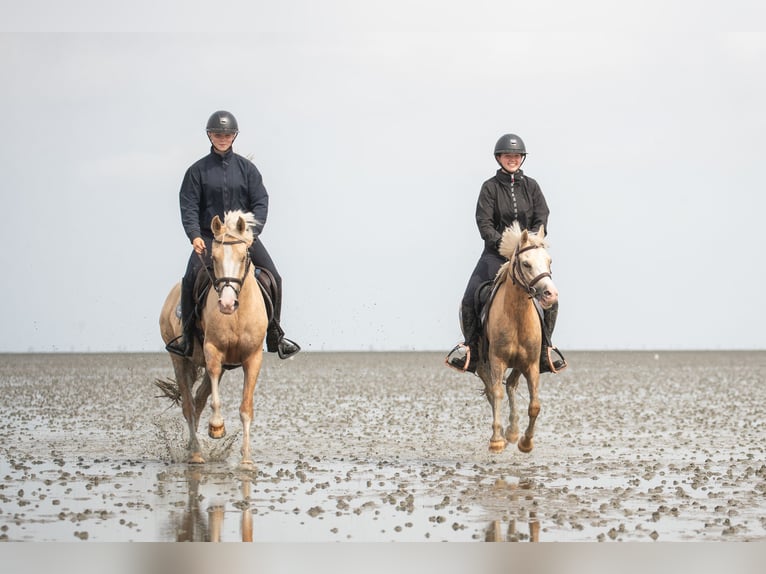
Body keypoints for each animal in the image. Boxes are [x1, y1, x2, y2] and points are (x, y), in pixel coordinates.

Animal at [480, 223, 560, 456]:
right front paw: (496, 441)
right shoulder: (496, 360)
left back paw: (513, 431)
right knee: (493, 391)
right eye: (526, 263)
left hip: (518, 363)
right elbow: (496, 394)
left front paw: (526, 442)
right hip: (482, 363)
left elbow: (534, 405)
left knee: (511, 386)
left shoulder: (532, 364)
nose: (551, 295)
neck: (517, 315)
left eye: (549, 261)